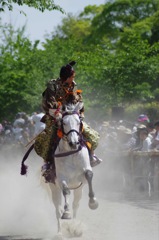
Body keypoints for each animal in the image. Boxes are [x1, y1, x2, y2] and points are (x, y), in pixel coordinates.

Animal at [48, 102, 98, 233]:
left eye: (78, 121)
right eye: (64, 122)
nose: (74, 143)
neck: (71, 153)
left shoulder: (82, 177)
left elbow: (89, 175)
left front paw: (93, 202)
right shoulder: (61, 179)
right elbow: (65, 190)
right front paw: (66, 213)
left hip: (78, 189)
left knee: (75, 205)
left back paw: (74, 226)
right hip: (53, 187)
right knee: (58, 208)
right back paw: (60, 231)